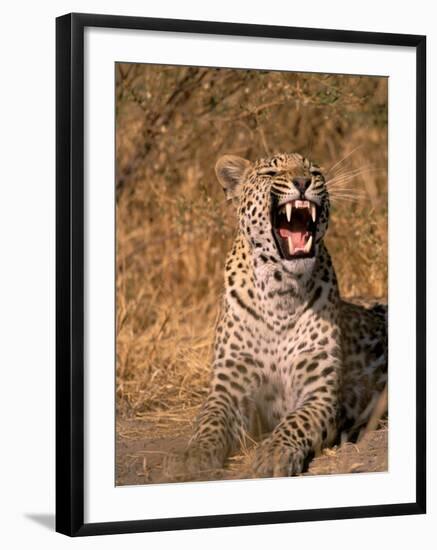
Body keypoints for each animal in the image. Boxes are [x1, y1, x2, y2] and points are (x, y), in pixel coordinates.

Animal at [169, 153, 386, 480]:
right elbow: (210, 421)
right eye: (271, 172)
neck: (280, 292)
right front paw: (195, 457)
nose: (303, 181)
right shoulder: (228, 388)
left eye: (314, 171)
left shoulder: (319, 393)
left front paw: (273, 454)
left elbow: (295, 421)